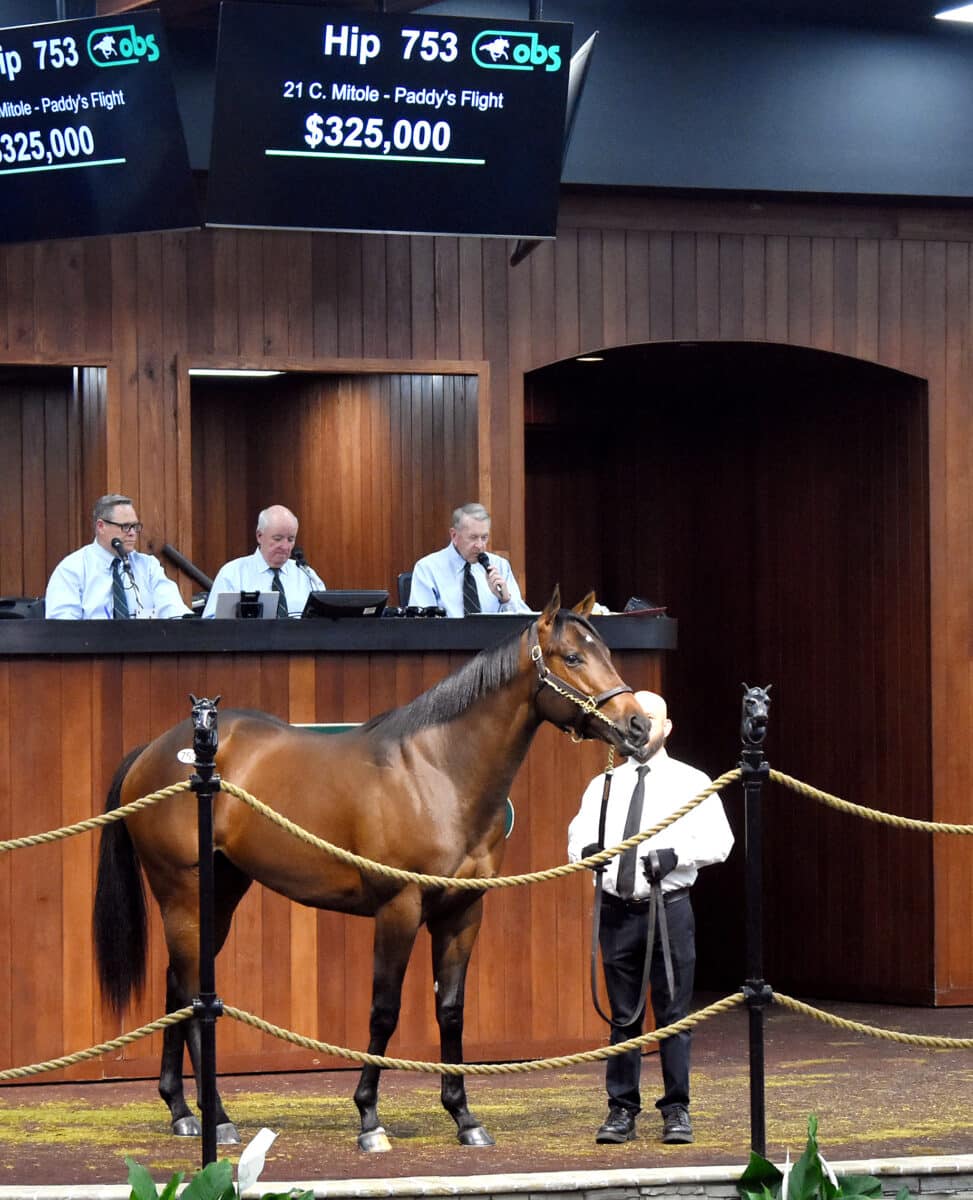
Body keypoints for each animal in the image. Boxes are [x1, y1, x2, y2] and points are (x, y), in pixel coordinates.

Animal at [95, 590, 652, 1152]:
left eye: (607, 652)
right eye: (573, 658)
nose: (639, 726)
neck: (438, 772)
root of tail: (155, 751)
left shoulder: (462, 913)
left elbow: (451, 1010)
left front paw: (464, 1116)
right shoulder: (398, 908)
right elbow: (384, 1010)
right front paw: (369, 1118)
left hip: (220, 893)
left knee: (178, 984)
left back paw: (181, 1110)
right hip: (182, 893)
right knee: (192, 990)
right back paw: (219, 1118)